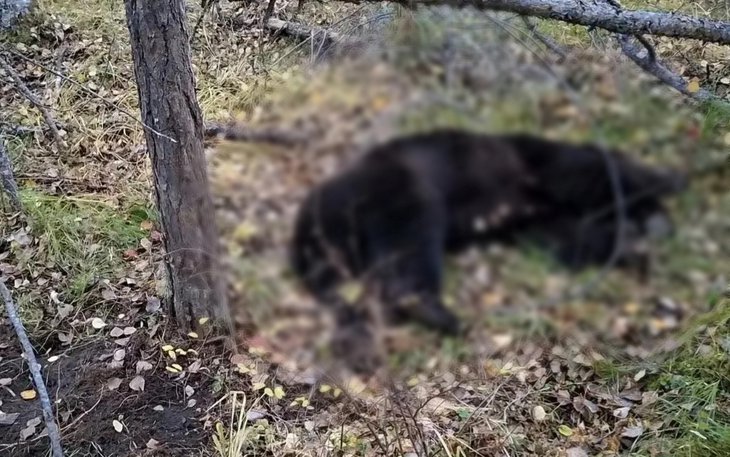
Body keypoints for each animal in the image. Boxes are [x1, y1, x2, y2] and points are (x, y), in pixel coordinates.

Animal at [289, 129, 687, 348]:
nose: (662, 224)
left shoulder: (535, 219)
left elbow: (574, 240)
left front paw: (633, 247)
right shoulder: (545, 168)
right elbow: (599, 175)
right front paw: (663, 187)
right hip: (400, 187)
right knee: (412, 242)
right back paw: (435, 312)